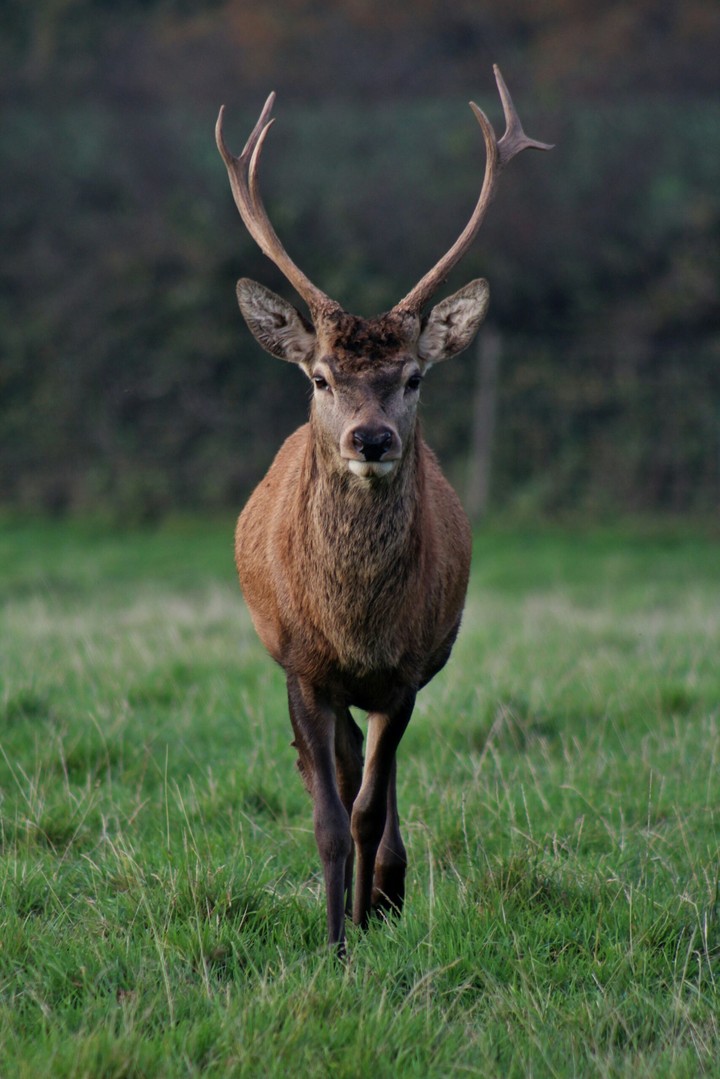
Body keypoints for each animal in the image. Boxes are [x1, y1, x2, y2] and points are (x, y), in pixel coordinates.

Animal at [216, 66, 551, 952]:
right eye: (321, 376)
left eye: (414, 377)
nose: (370, 438)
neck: (355, 621)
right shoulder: (302, 664)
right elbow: (329, 816)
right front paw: (334, 939)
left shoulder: (405, 672)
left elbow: (368, 808)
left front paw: (366, 918)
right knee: (333, 769)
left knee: (377, 778)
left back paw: (390, 893)